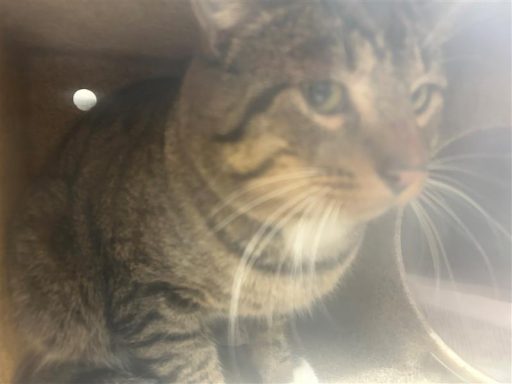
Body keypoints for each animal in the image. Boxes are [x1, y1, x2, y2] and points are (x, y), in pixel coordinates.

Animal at [7, 0, 448, 384]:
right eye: (323, 93)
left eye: (419, 97)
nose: (411, 169)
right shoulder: (153, 304)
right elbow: (192, 368)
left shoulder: (270, 308)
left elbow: (272, 344)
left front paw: (284, 369)